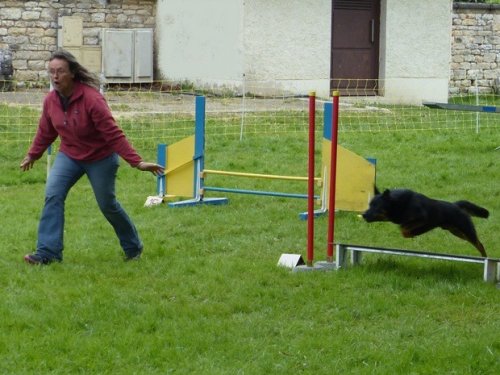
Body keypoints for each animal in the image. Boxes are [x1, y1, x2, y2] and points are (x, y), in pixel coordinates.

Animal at [362, 188, 490, 258]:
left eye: (376, 206)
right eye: (369, 205)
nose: (363, 214)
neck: (398, 203)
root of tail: (456, 205)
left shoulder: (422, 218)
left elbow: (404, 229)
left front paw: (412, 233)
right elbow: (404, 228)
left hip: (466, 230)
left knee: (479, 244)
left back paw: (485, 258)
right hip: (457, 232)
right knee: (475, 242)